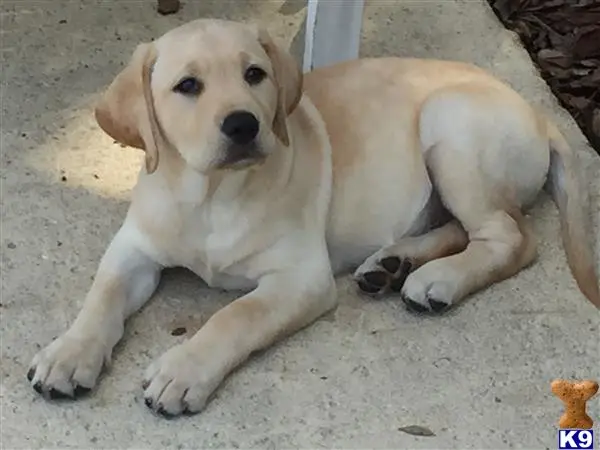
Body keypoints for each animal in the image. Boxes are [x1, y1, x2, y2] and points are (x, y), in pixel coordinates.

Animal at [29, 20, 600, 414]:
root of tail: (540, 115)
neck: (210, 194)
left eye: (254, 74)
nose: (243, 125)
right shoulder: (134, 248)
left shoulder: (300, 277)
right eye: (187, 86)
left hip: (451, 128)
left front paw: (184, 370)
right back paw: (392, 264)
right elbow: (102, 296)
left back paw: (437, 279)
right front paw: (68, 353)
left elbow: (235, 315)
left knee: (511, 237)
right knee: (462, 227)